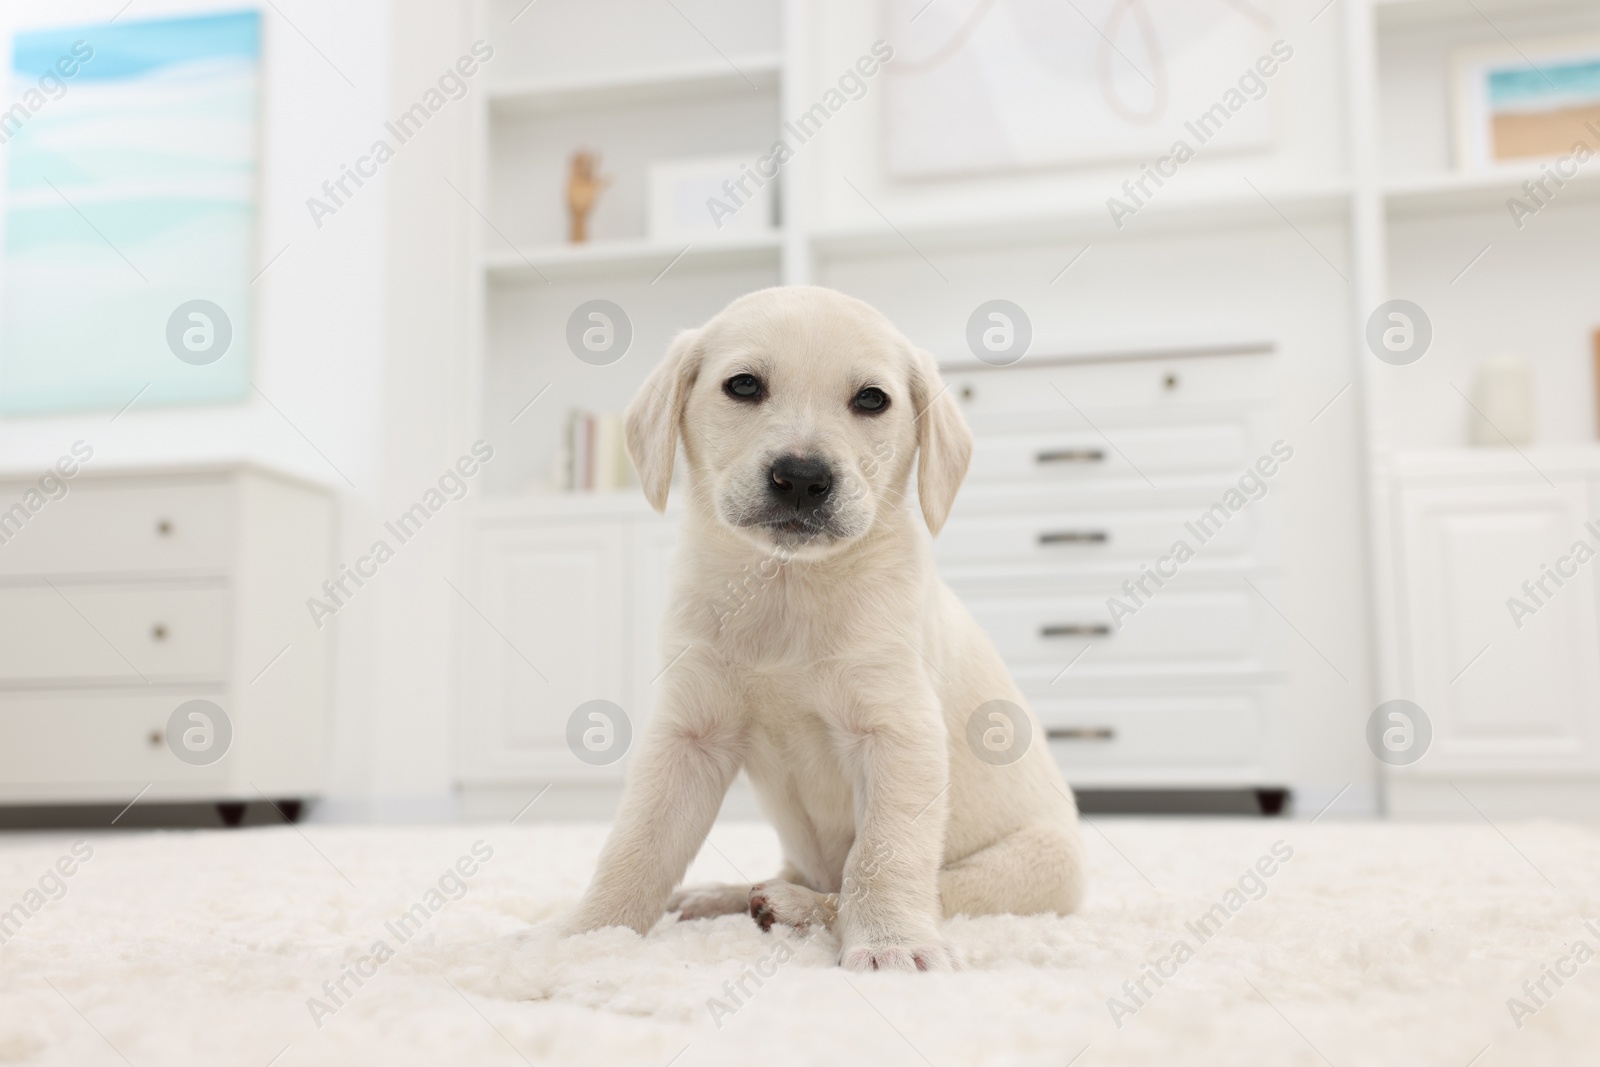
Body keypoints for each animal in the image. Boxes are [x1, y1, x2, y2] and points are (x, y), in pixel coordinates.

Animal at [563, 287, 1088, 972]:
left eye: (872, 399)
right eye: (743, 385)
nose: (802, 477)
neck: (787, 587)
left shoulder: (898, 733)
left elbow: (881, 857)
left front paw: (892, 942)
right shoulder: (690, 736)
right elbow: (638, 844)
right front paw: (587, 937)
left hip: (1035, 865)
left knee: (874, 887)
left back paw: (792, 907)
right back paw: (725, 895)